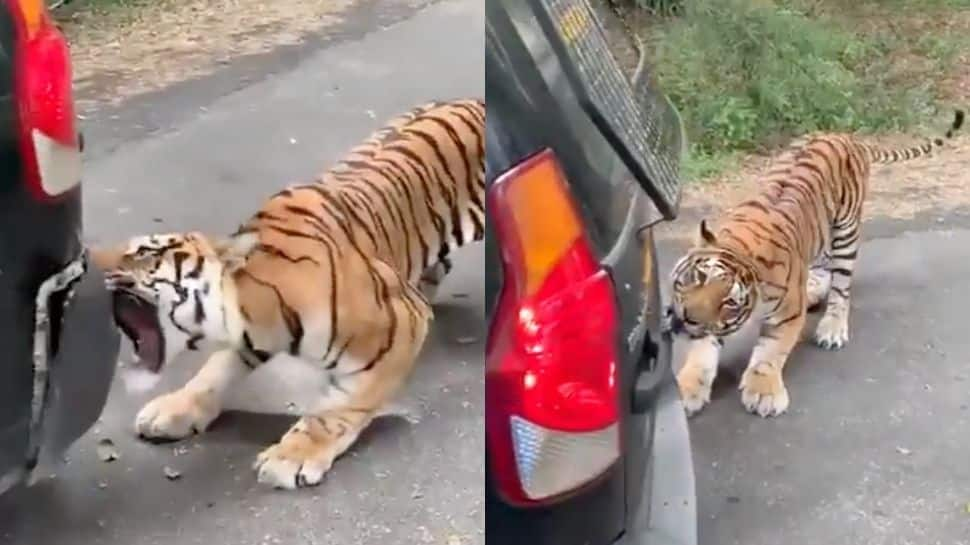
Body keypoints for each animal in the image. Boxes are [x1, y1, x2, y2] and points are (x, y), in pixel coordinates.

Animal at [89, 98, 484, 488]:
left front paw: (292, 456)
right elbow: (213, 373)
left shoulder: (403, 322)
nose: (87, 260)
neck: (251, 305)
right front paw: (174, 409)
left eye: (143, 251)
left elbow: (338, 408)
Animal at [664, 108, 960, 418]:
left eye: (729, 302)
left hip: (846, 230)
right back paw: (813, 293)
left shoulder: (786, 315)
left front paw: (763, 392)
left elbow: (770, 353)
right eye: (698, 278)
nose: (686, 318)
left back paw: (832, 328)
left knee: (841, 286)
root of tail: (846, 136)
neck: (742, 246)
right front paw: (686, 390)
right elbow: (701, 354)